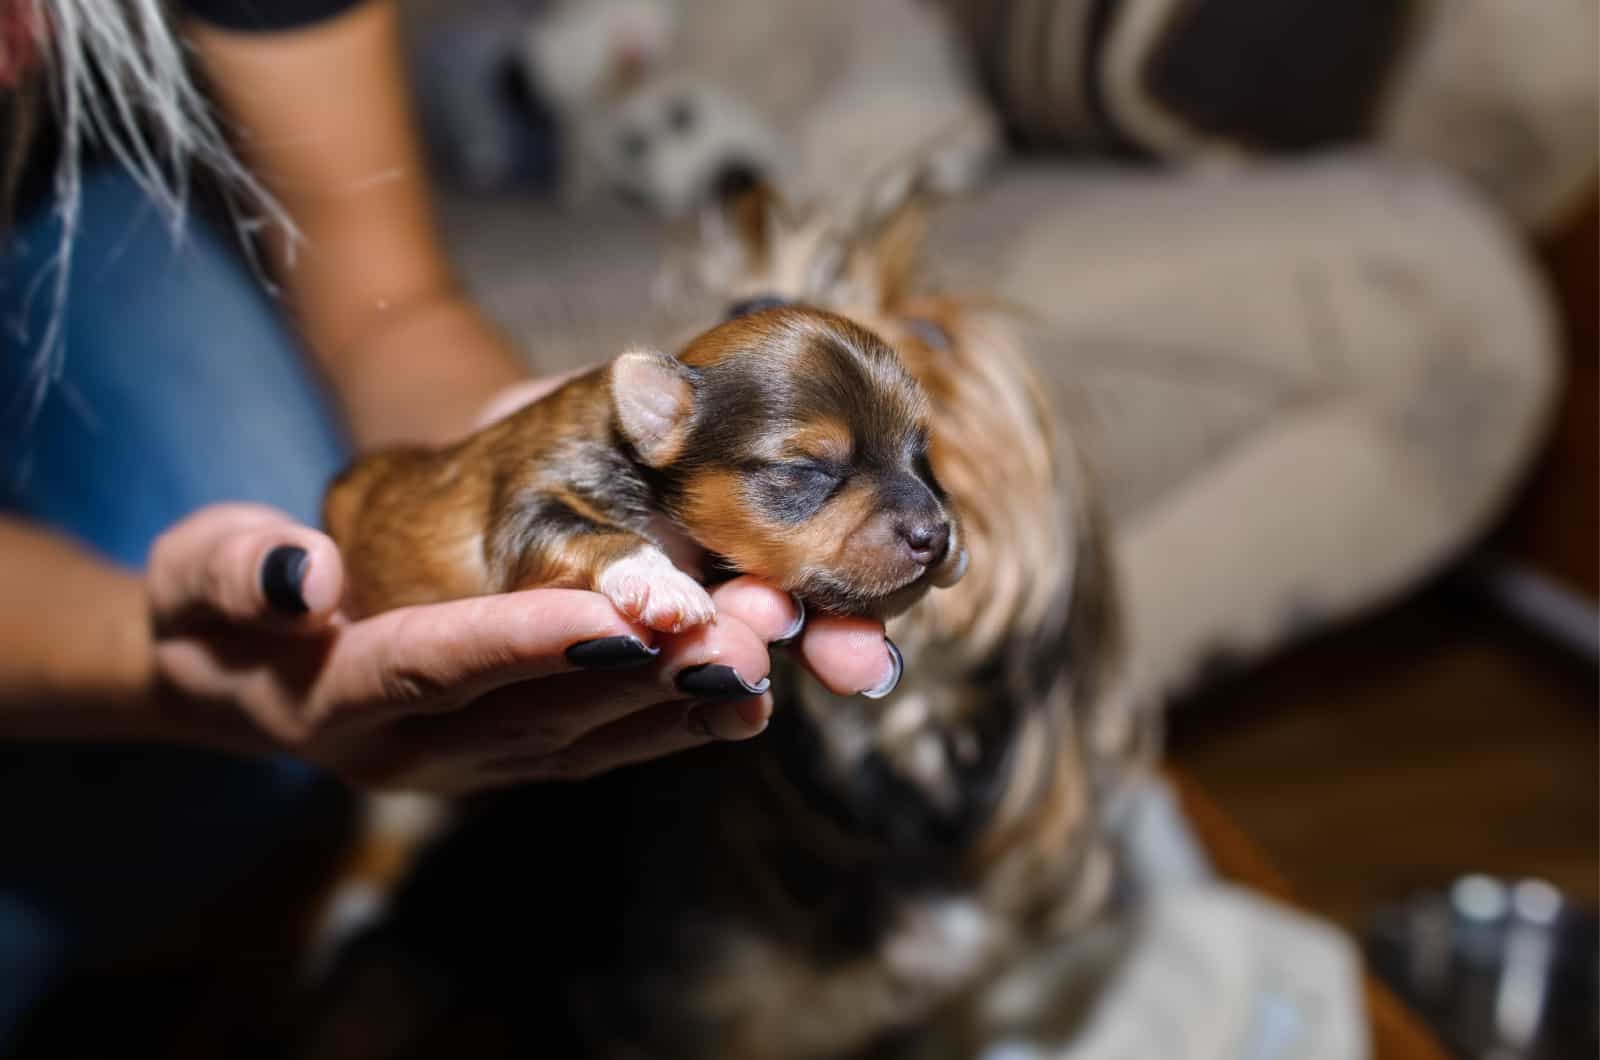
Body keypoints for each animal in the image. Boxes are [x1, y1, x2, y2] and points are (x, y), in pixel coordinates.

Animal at [328, 302, 960, 627]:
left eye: (920, 453)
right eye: (809, 469)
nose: (936, 537)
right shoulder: (528, 498)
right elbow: (584, 528)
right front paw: (663, 582)